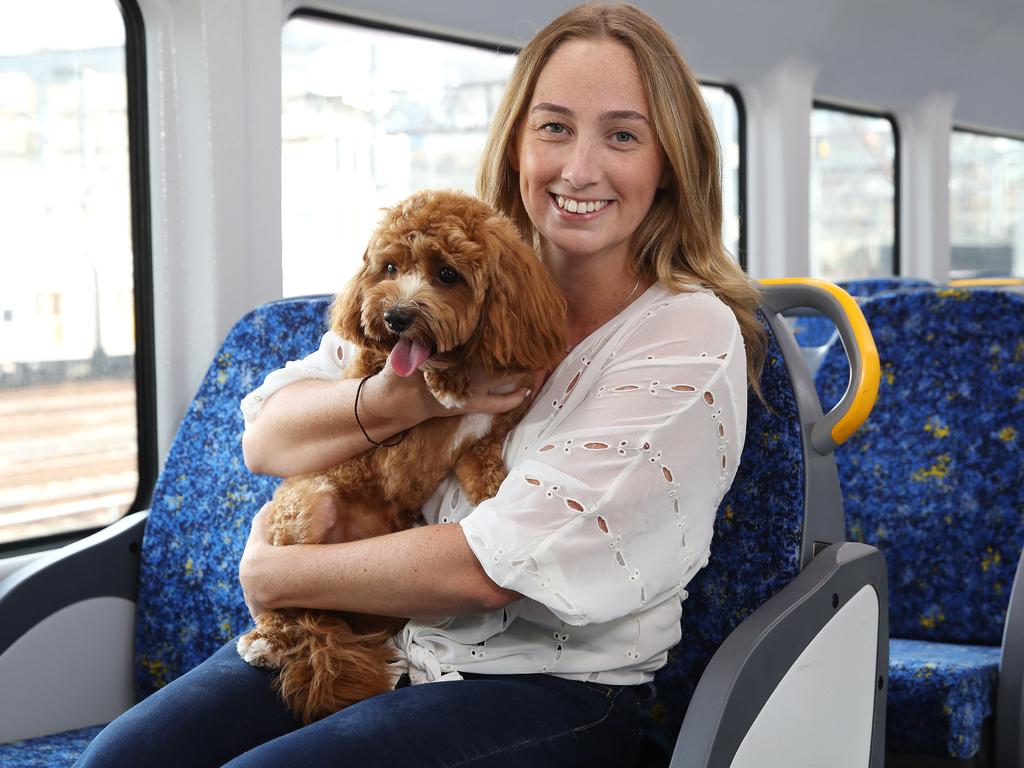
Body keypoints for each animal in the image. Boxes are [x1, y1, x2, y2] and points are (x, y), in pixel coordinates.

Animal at [237, 189, 569, 724]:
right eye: (389, 267)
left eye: (448, 274)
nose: (396, 318)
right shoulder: (371, 379)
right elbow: (383, 372)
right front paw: (444, 381)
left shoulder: (480, 448)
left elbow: (489, 478)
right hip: (309, 507)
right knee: (284, 598)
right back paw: (267, 639)